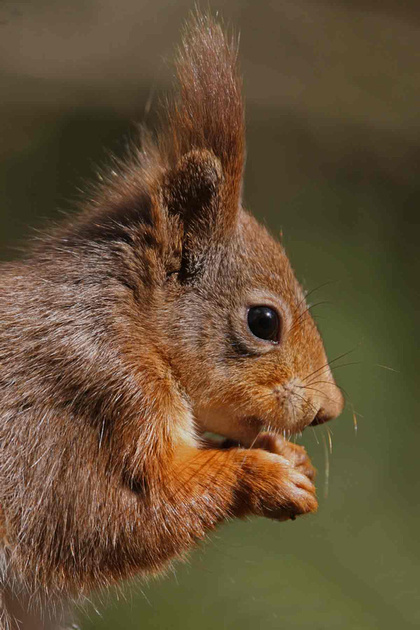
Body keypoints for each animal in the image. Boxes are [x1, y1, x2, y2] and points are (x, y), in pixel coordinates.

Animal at [0, 11, 342, 630]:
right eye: (263, 321)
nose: (331, 409)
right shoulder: (85, 401)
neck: (132, 326)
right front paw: (261, 477)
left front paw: (287, 455)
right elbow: (101, 520)